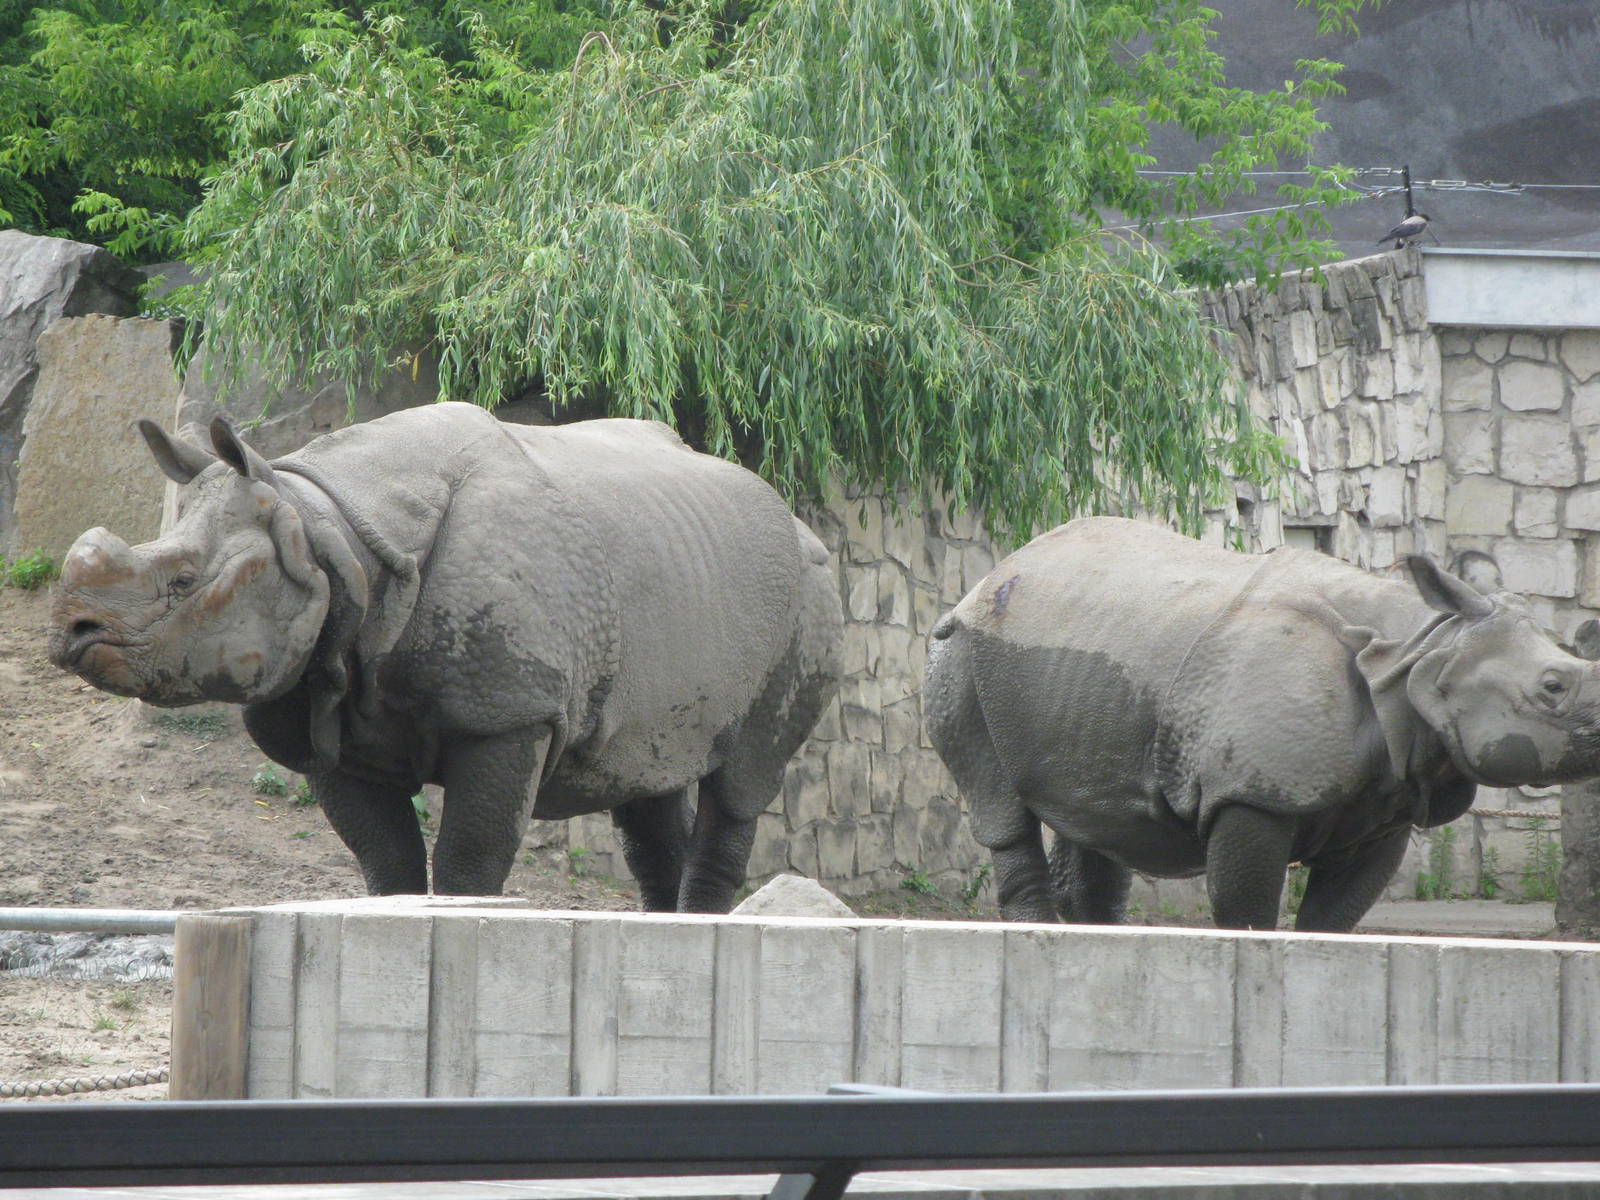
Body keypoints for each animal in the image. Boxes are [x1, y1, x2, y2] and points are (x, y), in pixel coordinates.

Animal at [49, 403, 842, 910]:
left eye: (184, 583)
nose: (70, 634)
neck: (327, 532)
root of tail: (799, 519)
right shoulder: (326, 703)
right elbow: (385, 860)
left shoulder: (512, 714)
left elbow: (470, 855)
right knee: (649, 780)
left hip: (809, 591)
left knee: (742, 779)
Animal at [925, 516, 1600, 932]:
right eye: (1553, 688)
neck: (1421, 649)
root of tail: (988, 575)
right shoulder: (1251, 794)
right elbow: (1245, 907)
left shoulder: (1388, 802)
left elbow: (1333, 918)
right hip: (961, 650)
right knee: (999, 803)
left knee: (1094, 812)